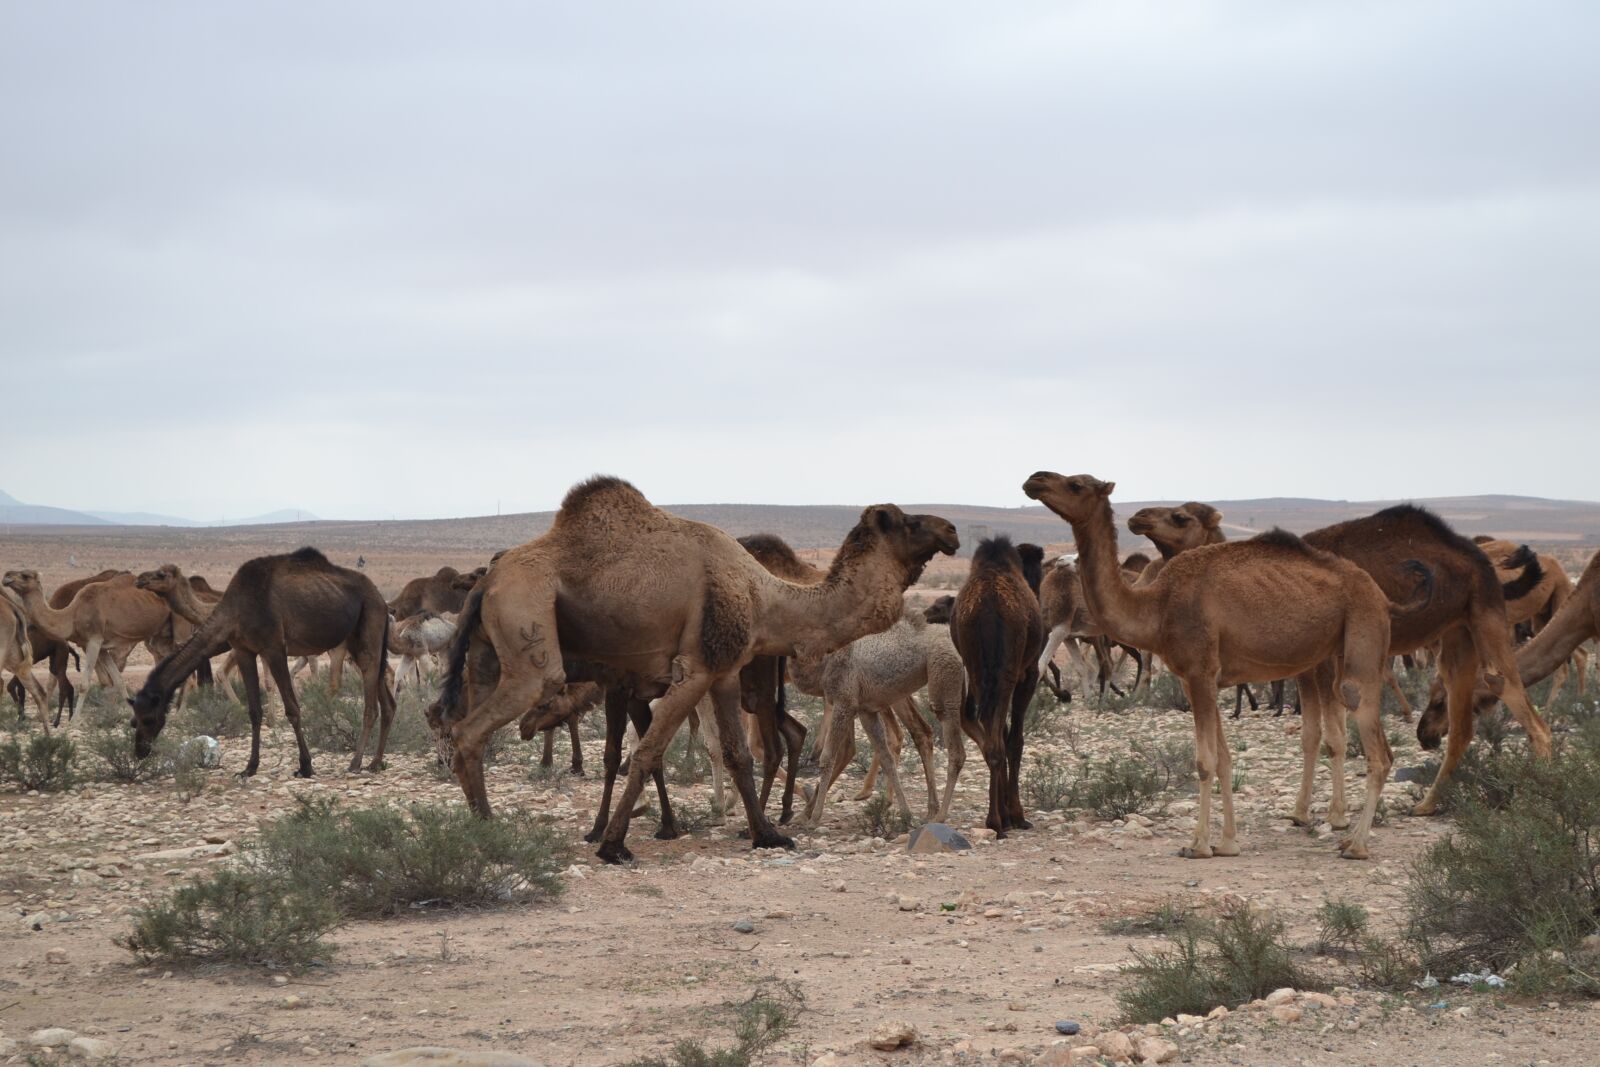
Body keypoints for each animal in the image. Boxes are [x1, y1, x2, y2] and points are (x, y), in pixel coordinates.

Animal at [1, 570, 171, 700]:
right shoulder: (100, 647)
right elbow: (117, 681)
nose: (6, 576)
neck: (71, 614)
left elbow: (85, 684)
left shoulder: (93, 641)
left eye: (25, 575)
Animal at [128, 548, 396, 777]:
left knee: (371, 702)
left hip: (369, 624)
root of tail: (383, 601)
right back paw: (375, 762)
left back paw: (356, 763)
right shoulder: (244, 650)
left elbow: (293, 708)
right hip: (356, 639)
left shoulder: (274, 648)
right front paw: (249, 767)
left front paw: (305, 766)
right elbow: (254, 711)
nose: (140, 750)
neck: (234, 607)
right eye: (133, 719)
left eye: (148, 719)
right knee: (388, 702)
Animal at [794, 602, 967, 829]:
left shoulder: (843, 702)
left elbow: (828, 757)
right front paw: (905, 813)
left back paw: (940, 816)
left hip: (944, 675)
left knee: (954, 749)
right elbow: (886, 758)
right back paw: (931, 812)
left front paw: (813, 819)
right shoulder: (866, 710)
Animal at [951, 536, 1044, 837]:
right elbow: (1015, 739)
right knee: (999, 739)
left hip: (978, 669)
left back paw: (995, 818)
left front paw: (1008, 813)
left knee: (988, 735)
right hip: (1006, 671)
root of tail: (988, 606)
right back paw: (999, 820)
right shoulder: (1029, 672)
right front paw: (1017, 815)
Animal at [1024, 472, 1412, 860]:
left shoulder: (1199, 673)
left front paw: (1198, 844)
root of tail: (1381, 595)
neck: (1157, 607)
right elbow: (1223, 759)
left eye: (1075, 484)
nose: (1034, 479)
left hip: (1363, 634)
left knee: (1377, 747)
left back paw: (1356, 844)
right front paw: (1227, 842)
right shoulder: (1198, 679)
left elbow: (1204, 761)